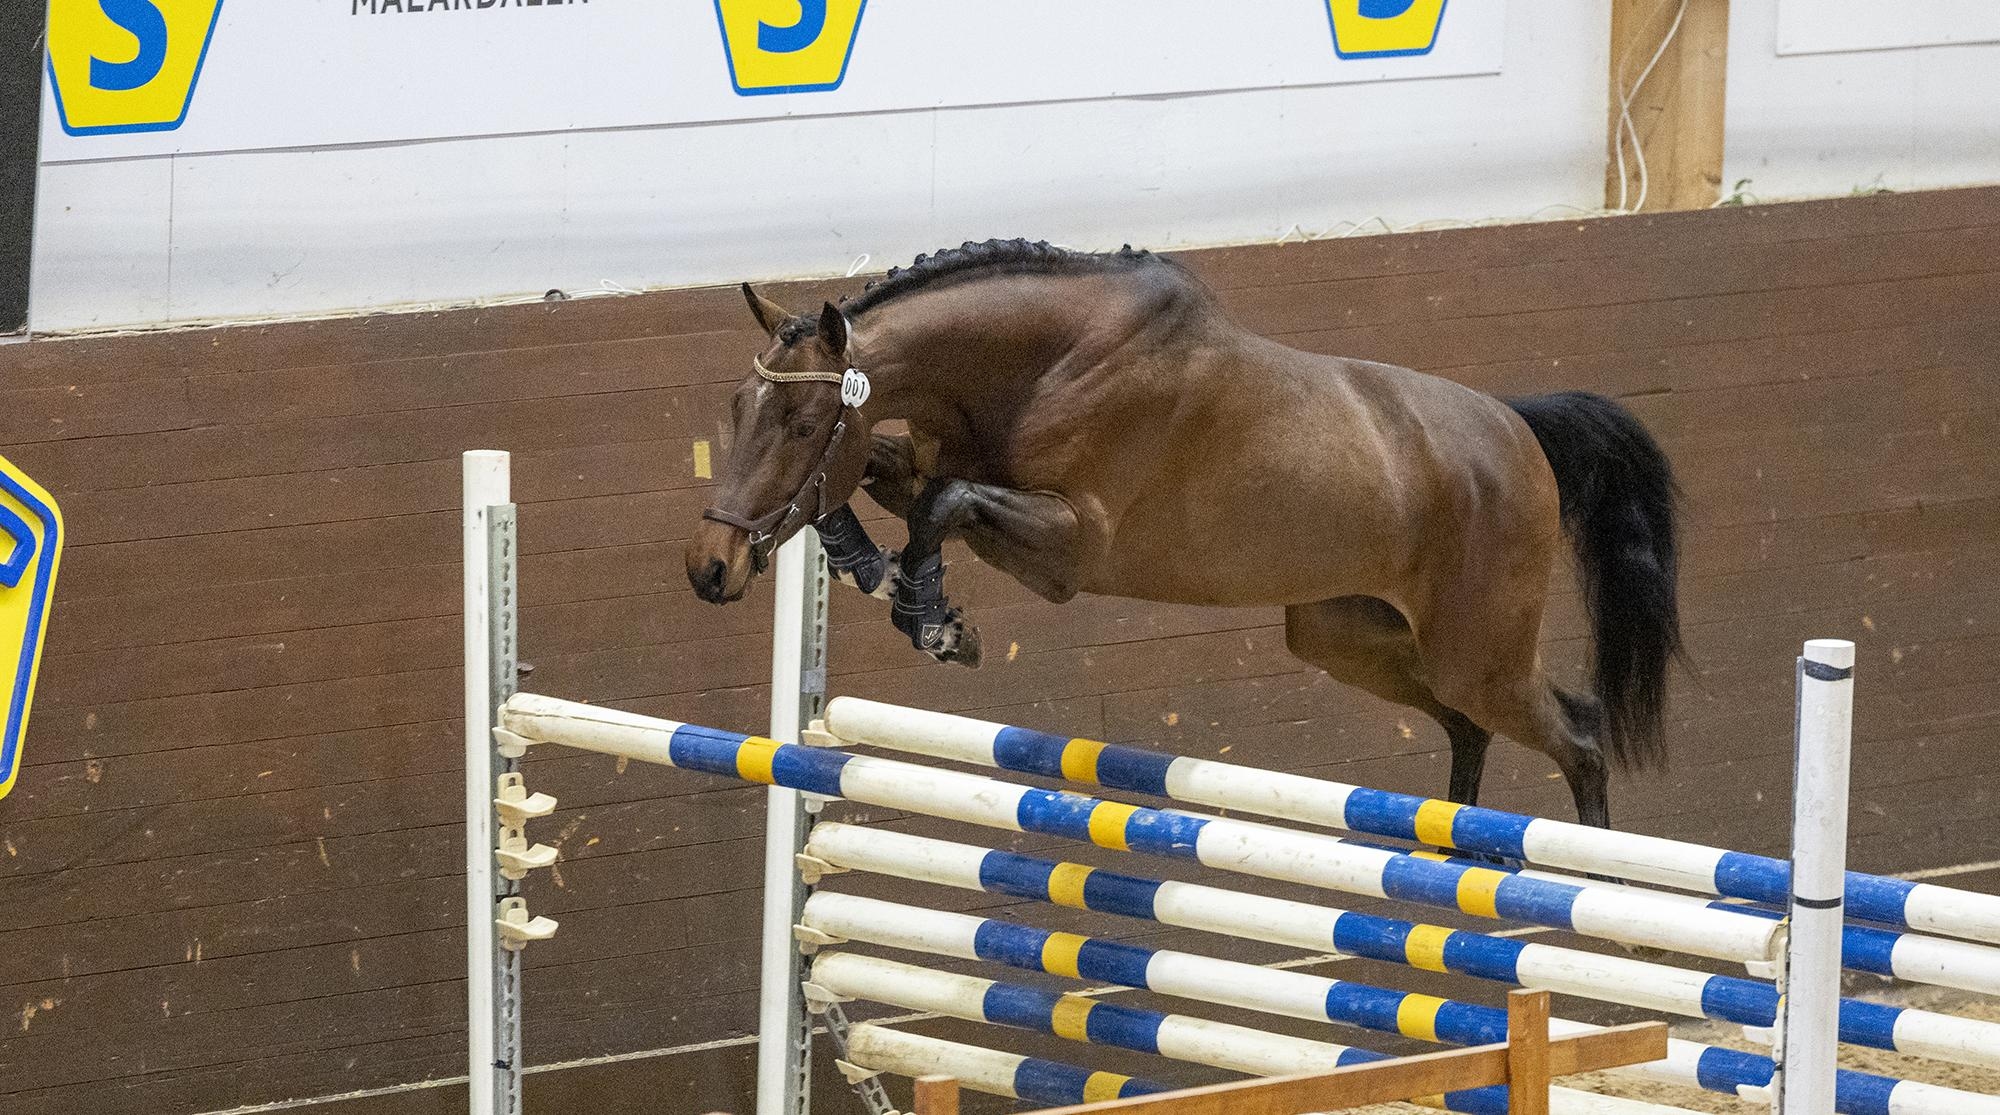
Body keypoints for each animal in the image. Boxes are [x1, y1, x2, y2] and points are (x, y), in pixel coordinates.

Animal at [680, 237, 1680, 831]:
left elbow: (944, 504)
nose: (709, 569)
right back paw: (1455, 857)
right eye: (735, 408)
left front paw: (933, 621)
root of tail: (1519, 432)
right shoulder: (938, 465)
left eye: (804, 425)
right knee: (1468, 727)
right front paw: (866, 565)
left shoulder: (1070, 545)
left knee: (1579, 736)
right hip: (1349, 636)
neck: (1043, 359)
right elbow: (888, 481)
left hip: (1478, 653)